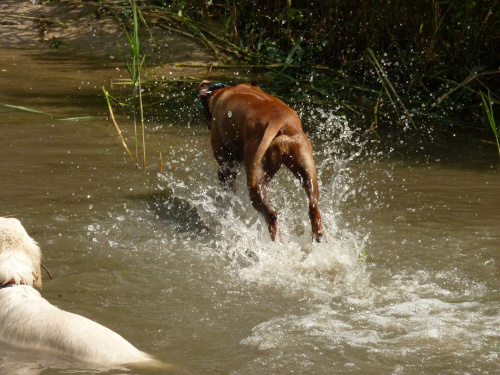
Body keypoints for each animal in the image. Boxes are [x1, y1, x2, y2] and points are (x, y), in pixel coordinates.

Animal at [199, 81, 324, 242]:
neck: (219, 92)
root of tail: (279, 120)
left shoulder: (226, 167)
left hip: (255, 180)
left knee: (271, 215)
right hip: (306, 167)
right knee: (313, 204)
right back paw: (318, 235)